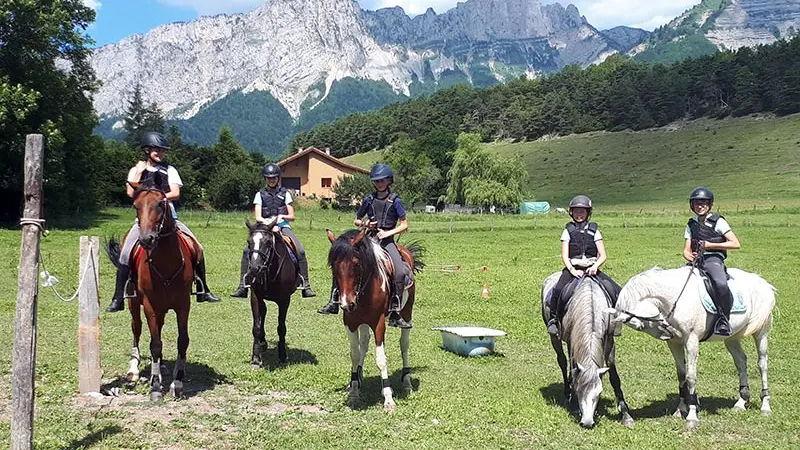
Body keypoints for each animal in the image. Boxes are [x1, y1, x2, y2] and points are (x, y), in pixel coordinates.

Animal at [106, 181, 197, 402]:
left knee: (159, 330)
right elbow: (155, 344)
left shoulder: (183, 305)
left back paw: (162, 365)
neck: (166, 262)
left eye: (160, 204)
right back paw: (133, 370)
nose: (147, 239)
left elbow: (182, 340)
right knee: (137, 329)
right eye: (136, 205)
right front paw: (156, 387)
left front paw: (178, 382)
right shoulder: (150, 305)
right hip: (135, 304)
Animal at [242, 217, 298, 366]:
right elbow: (256, 326)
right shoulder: (255, 297)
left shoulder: (284, 300)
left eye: (268, 242)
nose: (254, 268)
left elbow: (281, 328)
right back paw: (262, 343)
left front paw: (283, 355)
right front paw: (256, 358)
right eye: (249, 242)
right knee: (263, 312)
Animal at [324, 230, 424, 410]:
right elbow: (355, 354)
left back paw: (407, 382)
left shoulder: (378, 323)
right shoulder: (350, 322)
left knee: (404, 345)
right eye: (333, 266)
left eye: (356, 264)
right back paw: (357, 378)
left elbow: (381, 359)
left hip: (407, 313)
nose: (347, 303)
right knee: (364, 343)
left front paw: (388, 398)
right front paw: (354, 391)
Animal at [540, 272, 636, 428]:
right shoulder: (572, 340)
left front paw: (625, 415)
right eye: (580, 390)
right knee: (563, 362)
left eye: (599, 392)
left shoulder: (609, 341)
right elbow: (572, 368)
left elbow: (614, 377)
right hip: (554, 337)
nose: (587, 423)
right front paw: (573, 402)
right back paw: (567, 392)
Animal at [608, 266, 772, 430]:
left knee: (762, 364)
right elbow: (681, 376)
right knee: (741, 361)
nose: (667, 333)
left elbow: (691, 377)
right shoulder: (674, 343)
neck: (676, 299)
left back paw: (765, 406)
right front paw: (680, 410)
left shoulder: (691, 341)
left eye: (641, 325)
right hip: (732, 338)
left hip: (761, 331)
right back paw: (741, 402)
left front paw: (692, 417)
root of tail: (761, 281)